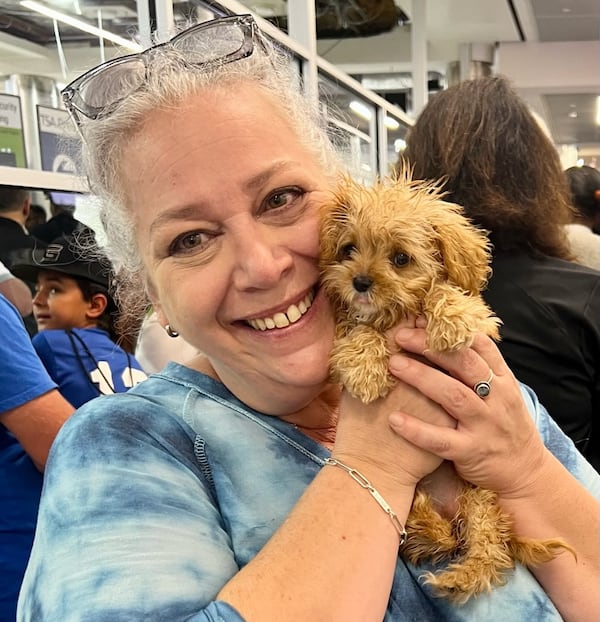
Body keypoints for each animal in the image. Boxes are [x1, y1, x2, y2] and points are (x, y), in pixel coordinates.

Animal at [316, 171, 568, 604]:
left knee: (487, 549)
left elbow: (447, 294)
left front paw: (450, 318)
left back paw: (458, 577)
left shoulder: (483, 324)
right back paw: (423, 528)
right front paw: (367, 368)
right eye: (349, 249)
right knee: (445, 539)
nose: (359, 282)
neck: (396, 313)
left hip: (479, 498)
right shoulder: (345, 332)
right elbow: (357, 332)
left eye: (401, 258)